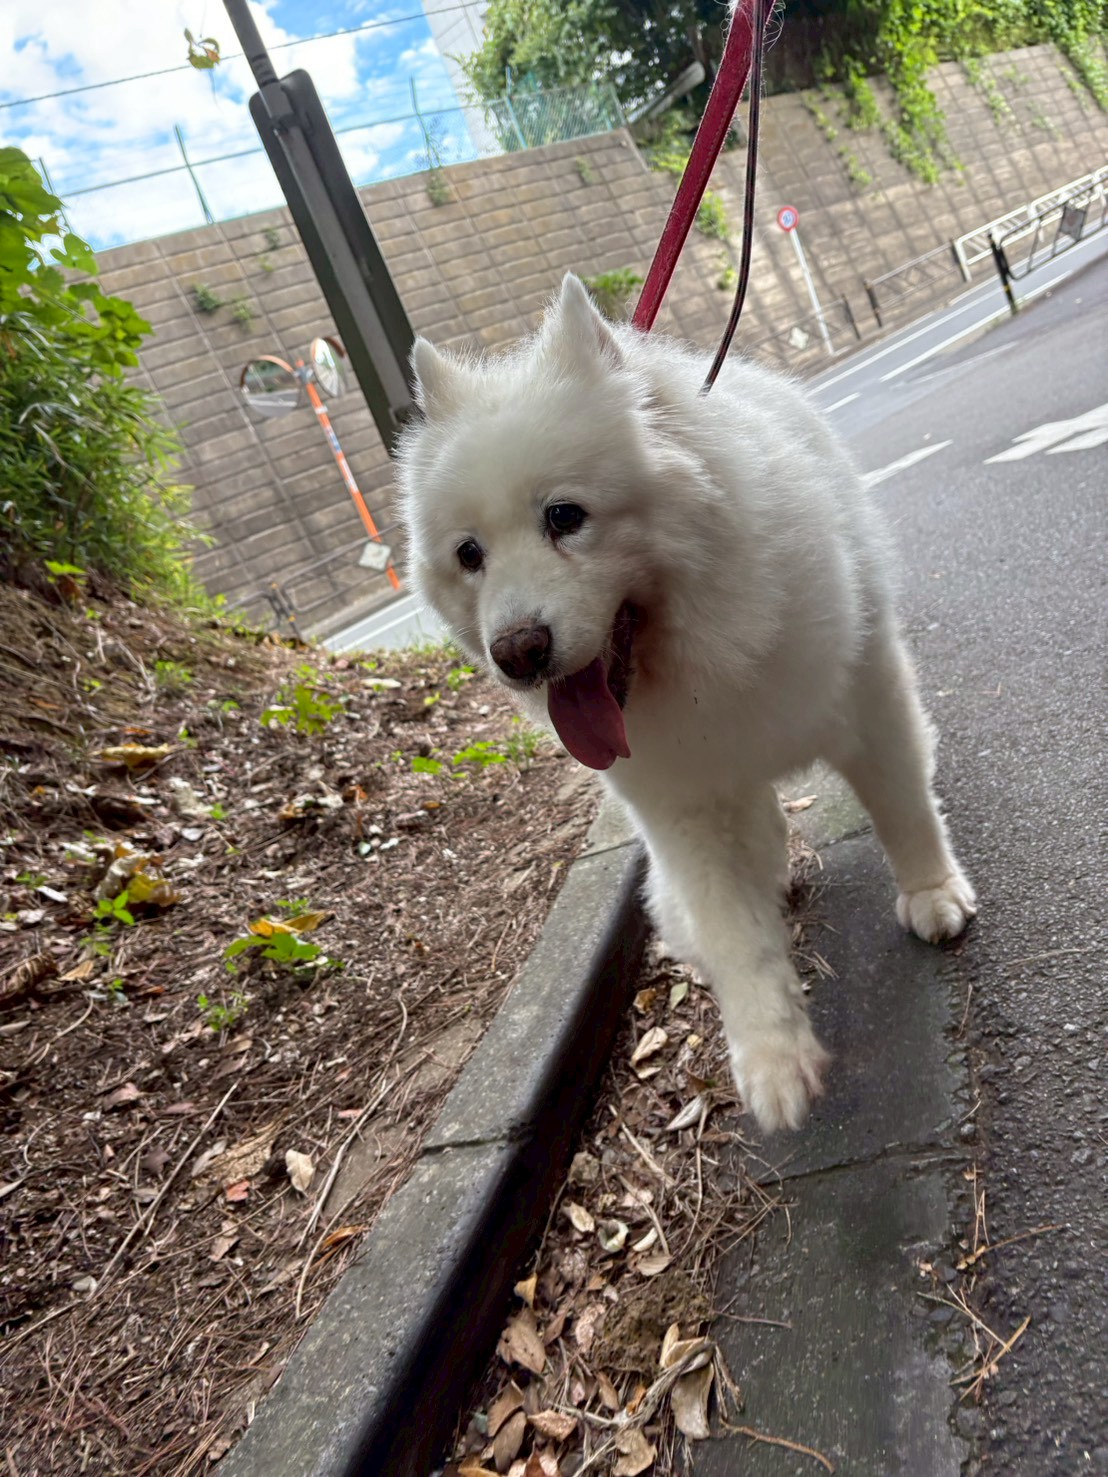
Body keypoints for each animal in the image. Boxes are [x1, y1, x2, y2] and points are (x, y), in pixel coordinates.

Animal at [396, 274, 976, 1133]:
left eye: (564, 516)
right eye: (470, 555)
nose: (517, 651)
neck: (706, 651)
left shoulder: (867, 702)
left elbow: (903, 806)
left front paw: (932, 892)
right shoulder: (684, 810)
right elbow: (735, 934)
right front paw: (772, 1057)